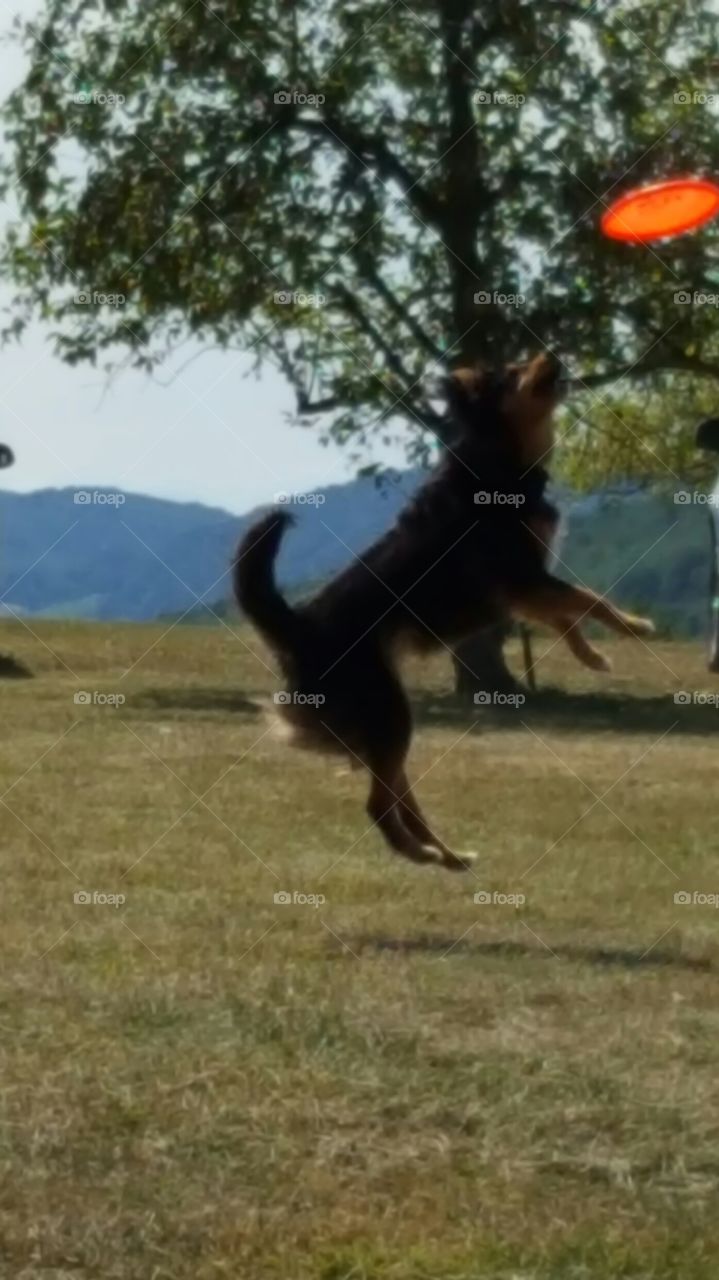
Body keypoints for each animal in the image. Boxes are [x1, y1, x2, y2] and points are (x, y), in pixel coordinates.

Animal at [234, 353, 649, 870]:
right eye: (515, 371)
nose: (553, 354)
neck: (499, 461)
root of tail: (298, 629)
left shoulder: (524, 589)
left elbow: (566, 617)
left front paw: (592, 657)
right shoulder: (520, 577)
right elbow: (590, 598)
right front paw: (634, 626)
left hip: (385, 724)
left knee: (398, 795)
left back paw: (446, 853)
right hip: (388, 712)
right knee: (378, 805)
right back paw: (422, 854)